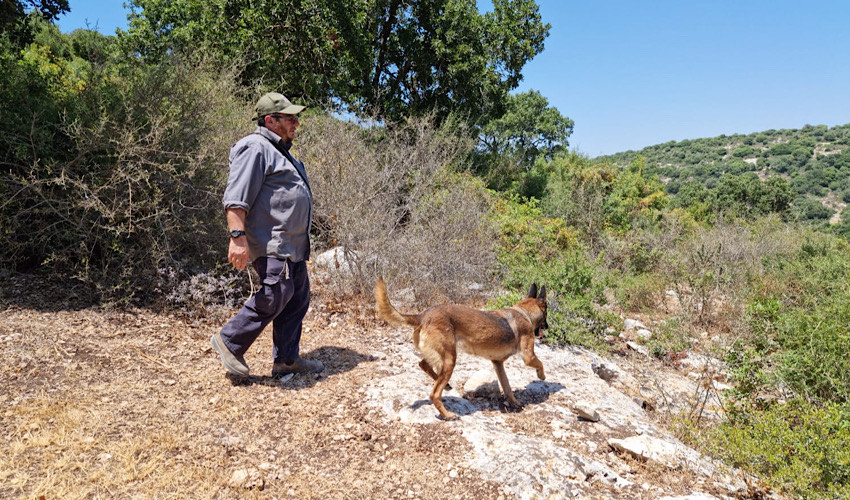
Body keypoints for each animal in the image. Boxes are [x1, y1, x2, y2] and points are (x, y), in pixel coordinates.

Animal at [372, 280, 548, 420]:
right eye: (546, 313)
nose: (547, 327)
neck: (524, 312)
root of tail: (422, 316)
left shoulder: (498, 363)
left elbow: (507, 387)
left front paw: (515, 403)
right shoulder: (528, 356)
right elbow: (540, 363)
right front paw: (542, 376)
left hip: (441, 356)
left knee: (423, 364)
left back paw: (446, 386)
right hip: (450, 359)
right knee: (434, 393)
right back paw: (447, 415)